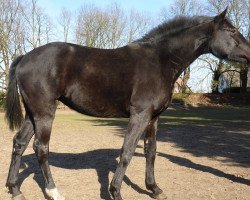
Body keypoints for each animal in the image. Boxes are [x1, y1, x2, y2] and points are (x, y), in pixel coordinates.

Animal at [4, 9, 250, 200]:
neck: (159, 61)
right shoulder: (139, 115)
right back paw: (54, 191)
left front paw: (154, 188)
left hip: (32, 114)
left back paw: (14, 189)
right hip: (45, 112)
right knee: (41, 147)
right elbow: (127, 151)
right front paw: (115, 192)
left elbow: (151, 151)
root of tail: (25, 57)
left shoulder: (153, 117)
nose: (249, 53)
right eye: (231, 31)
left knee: (19, 143)